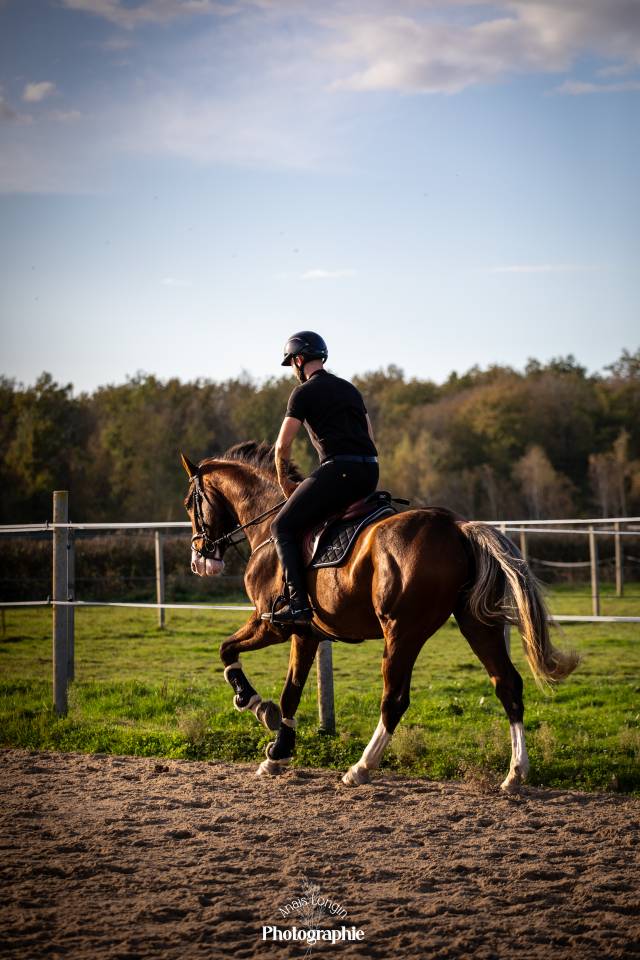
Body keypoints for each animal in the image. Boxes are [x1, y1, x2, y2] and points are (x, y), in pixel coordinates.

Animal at [181, 441, 579, 791]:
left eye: (189, 503)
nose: (200, 559)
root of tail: (457, 527)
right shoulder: (306, 633)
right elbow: (290, 691)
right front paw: (278, 752)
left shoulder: (270, 623)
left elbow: (227, 651)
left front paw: (253, 704)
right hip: (478, 625)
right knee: (508, 685)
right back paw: (515, 773)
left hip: (402, 633)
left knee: (394, 700)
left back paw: (361, 767)